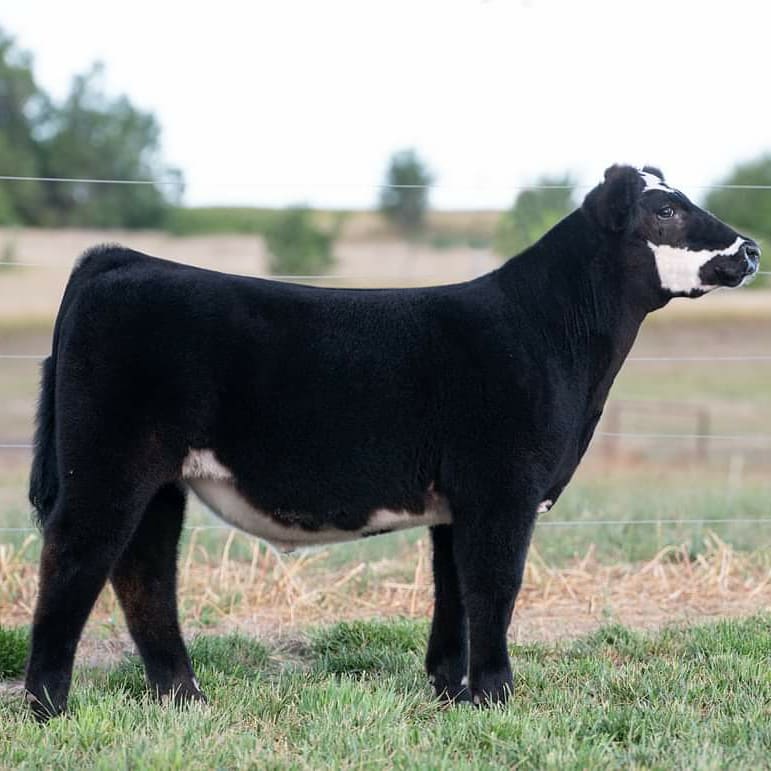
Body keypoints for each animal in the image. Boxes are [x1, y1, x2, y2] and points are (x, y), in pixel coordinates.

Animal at [24, 165, 759, 719]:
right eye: (665, 209)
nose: (751, 250)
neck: (551, 334)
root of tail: (121, 260)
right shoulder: (502, 488)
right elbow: (494, 585)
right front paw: (496, 694)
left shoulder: (458, 502)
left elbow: (452, 590)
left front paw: (450, 691)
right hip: (110, 463)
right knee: (76, 554)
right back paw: (48, 704)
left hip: (159, 478)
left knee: (144, 570)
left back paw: (183, 695)